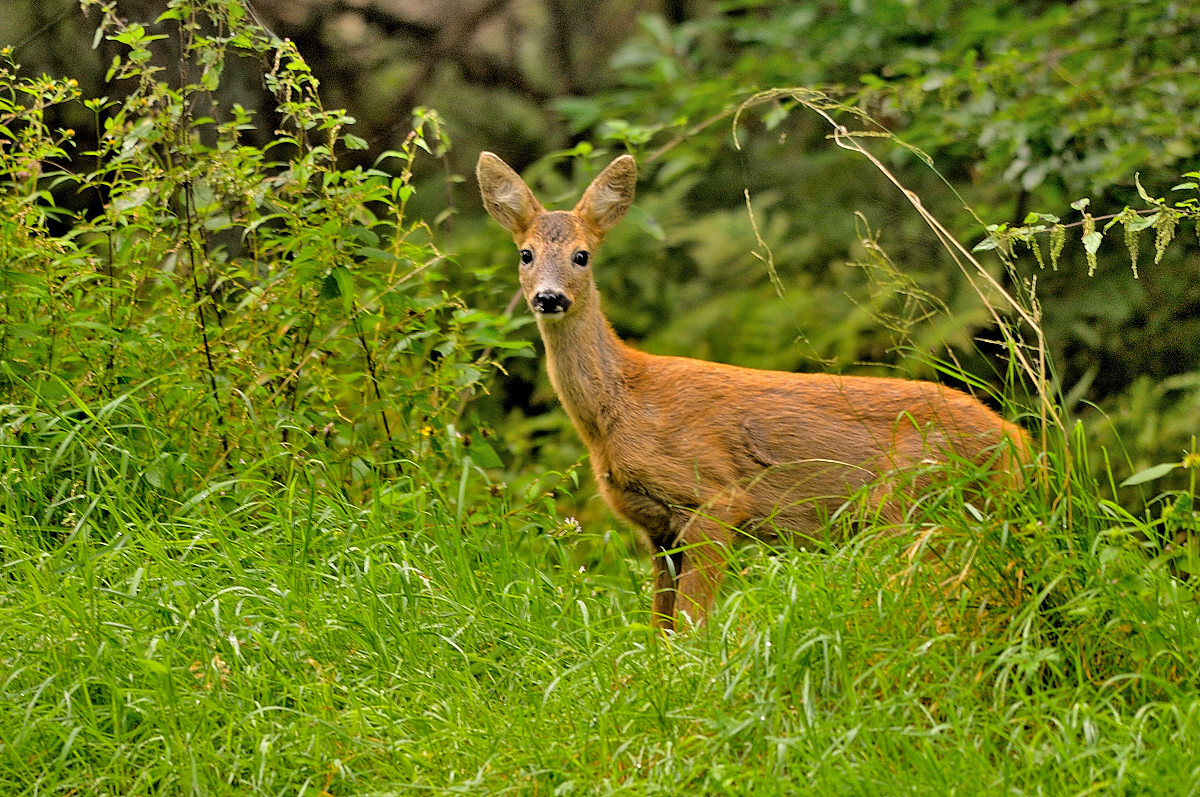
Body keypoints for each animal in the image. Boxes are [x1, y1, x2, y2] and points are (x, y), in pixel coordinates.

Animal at [472, 152, 1027, 633]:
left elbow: (692, 625)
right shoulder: (656, 531)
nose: (549, 297)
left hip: (914, 499)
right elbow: (660, 628)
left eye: (581, 256)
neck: (620, 406)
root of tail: (1017, 443)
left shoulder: (715, 499)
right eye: (526, 254)